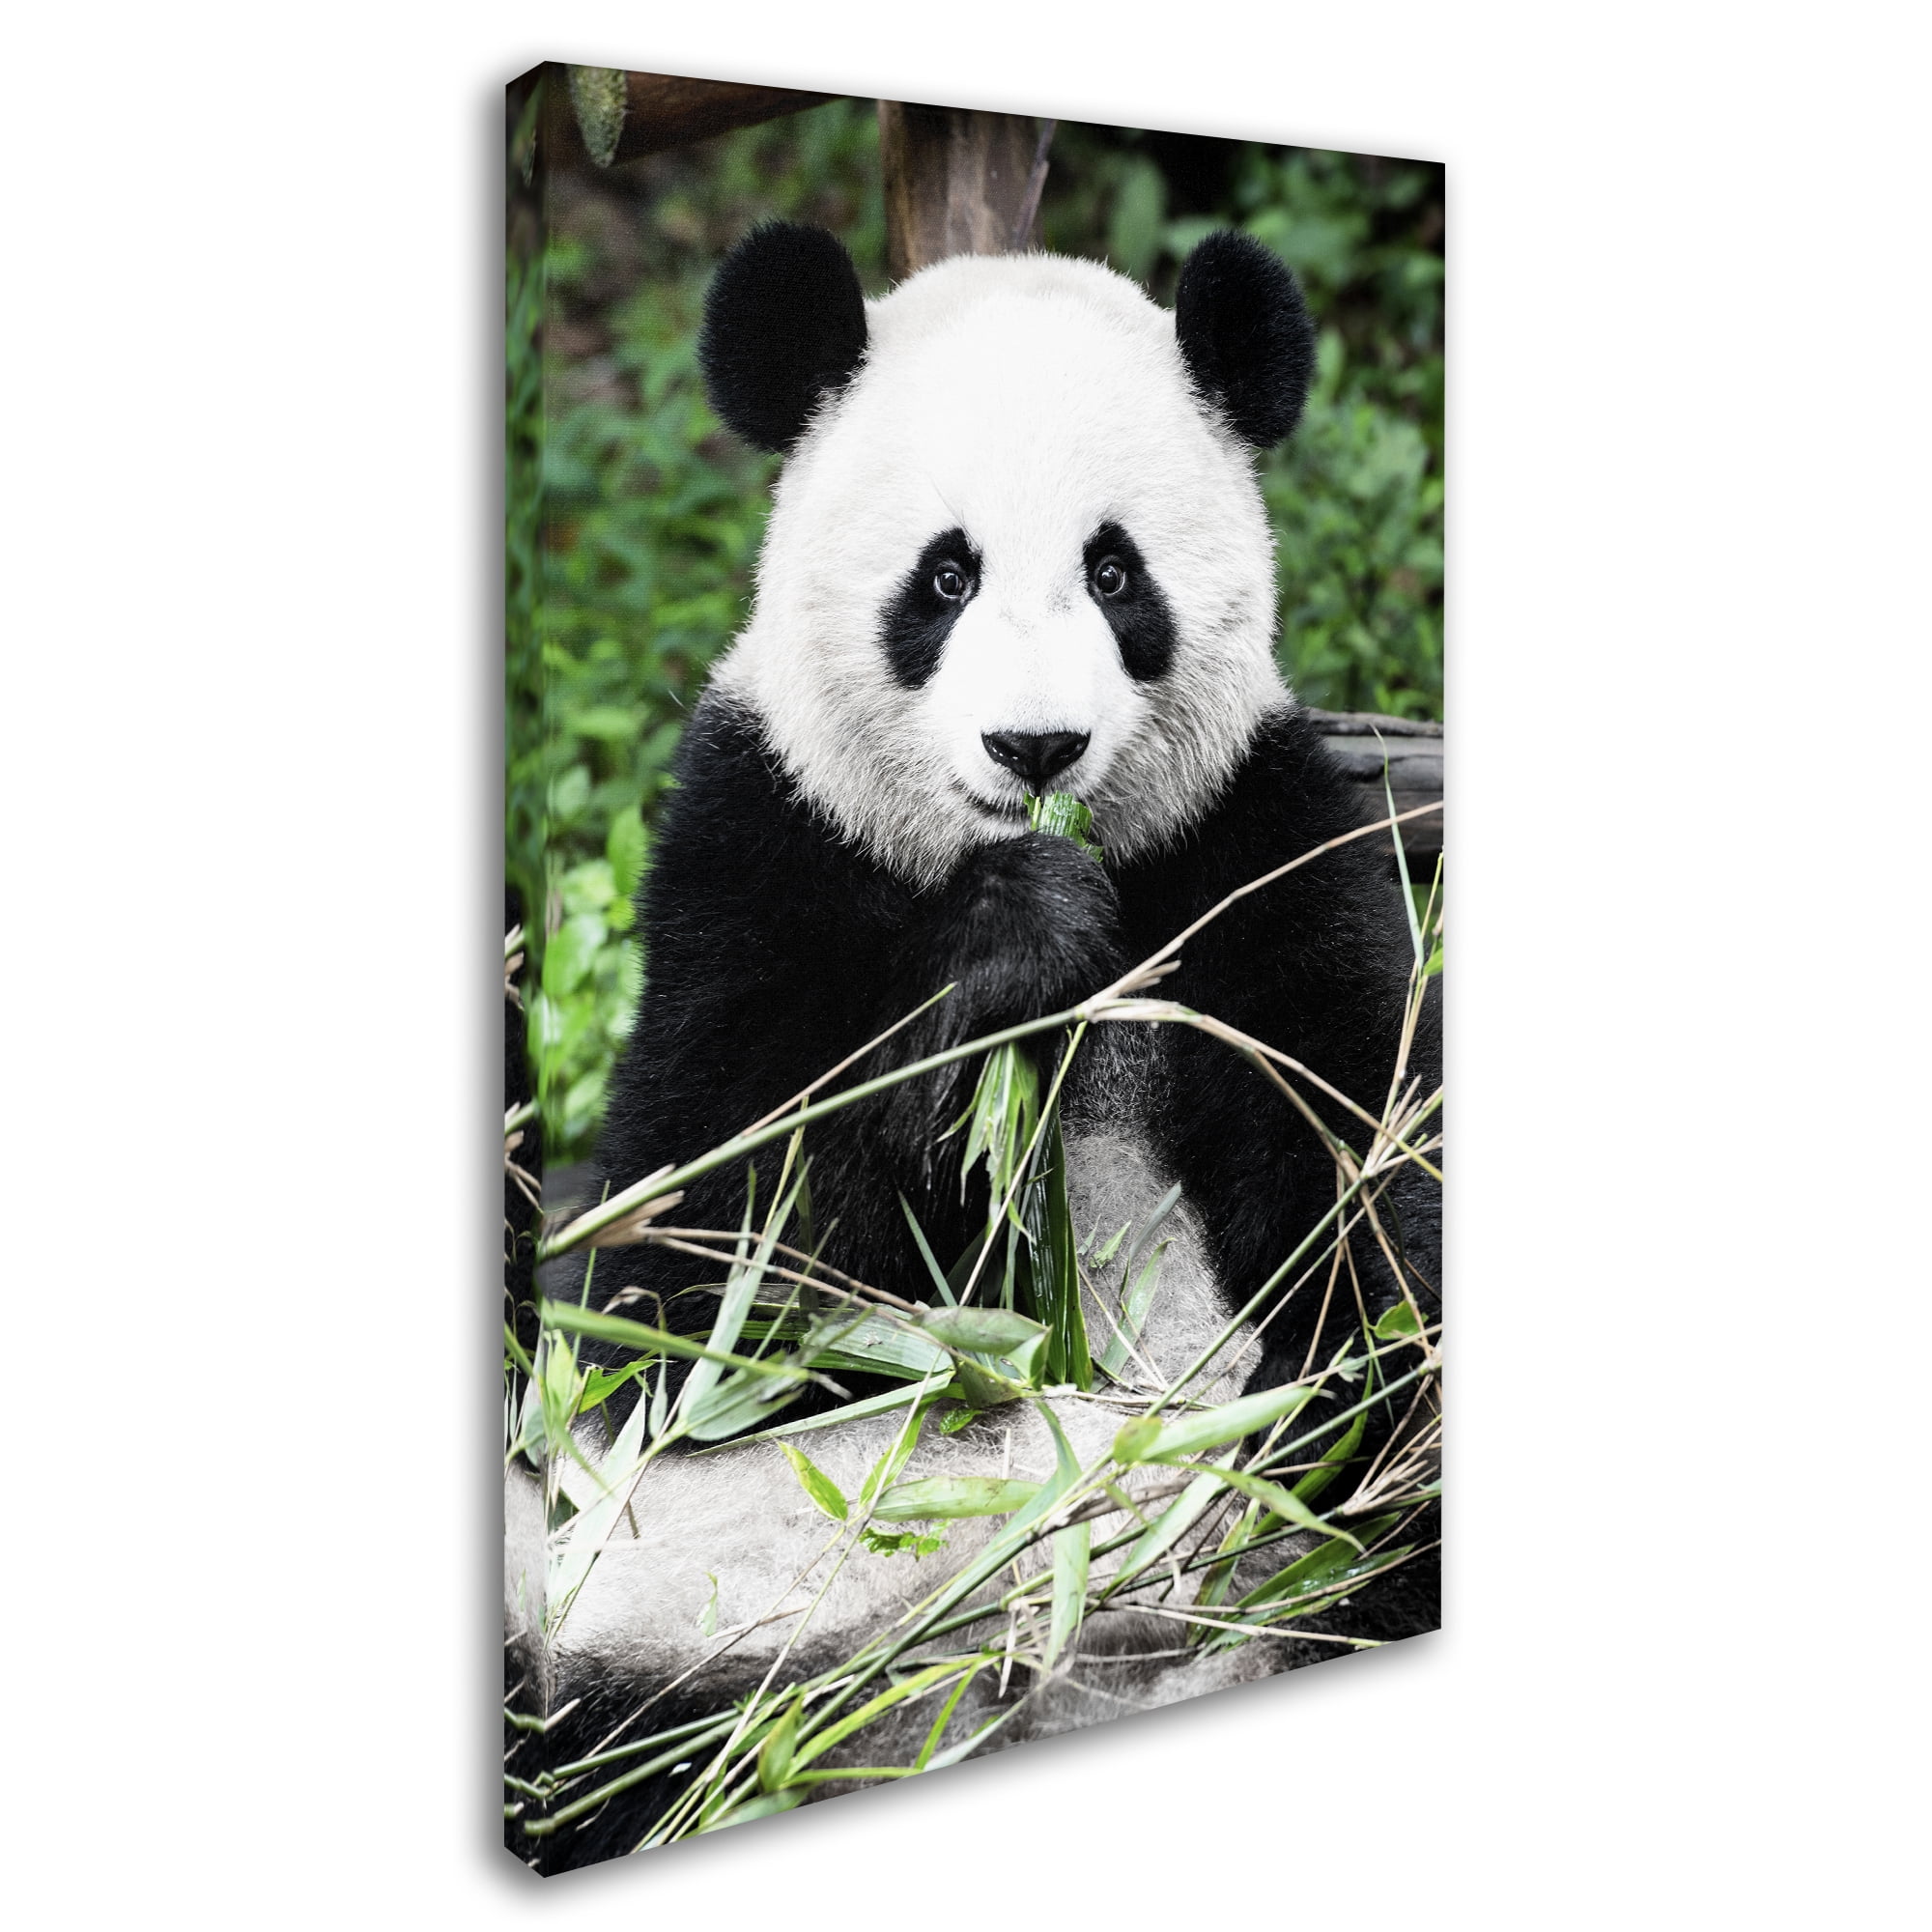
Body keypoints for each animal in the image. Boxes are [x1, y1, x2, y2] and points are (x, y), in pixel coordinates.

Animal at [504, 222, 1442, 1871]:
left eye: (1115, 572)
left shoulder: (1259, 841)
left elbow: (1370, 1179)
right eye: (944, 577)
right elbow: (706, 1285)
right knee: (607, 1726)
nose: (1035, 751)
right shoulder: (755, 849)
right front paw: (1015, 941)